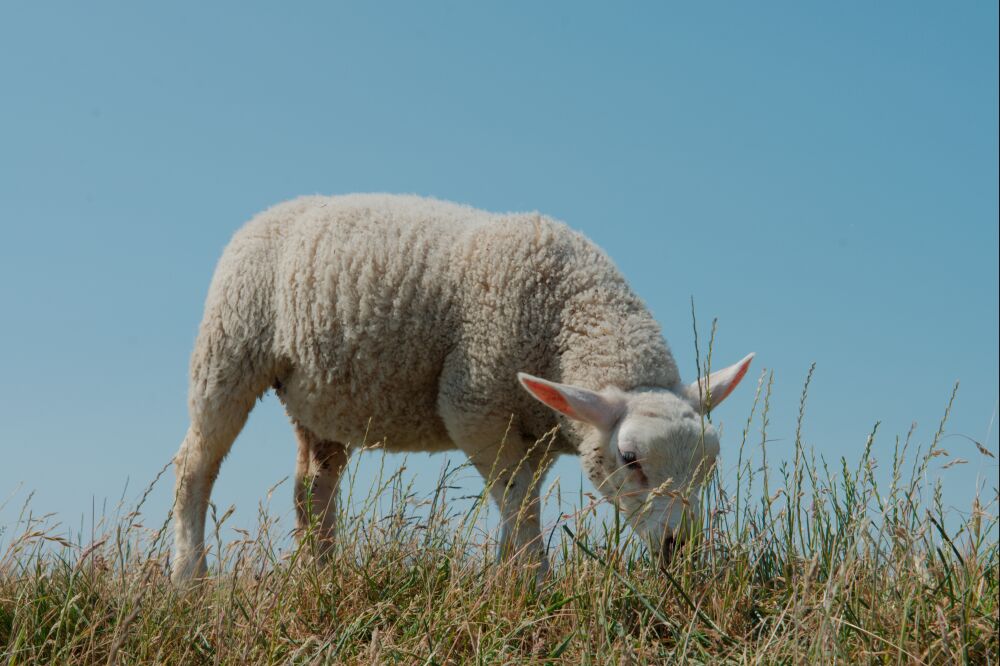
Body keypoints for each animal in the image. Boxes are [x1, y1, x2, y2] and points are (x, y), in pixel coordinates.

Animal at [170, 192, 752, 580]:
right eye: (630, 460)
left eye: (711, 464)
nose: (681, 548)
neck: (569, 309)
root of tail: (275, 210)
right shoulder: (475, 410)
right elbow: (519, 506)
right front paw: (536, 585)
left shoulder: (534, 431)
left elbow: (519, 504)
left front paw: (508, 580)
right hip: (229, 349)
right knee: (194, 467)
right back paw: (190, 580)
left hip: (319, 399)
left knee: (312, 489)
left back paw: (322, 575)